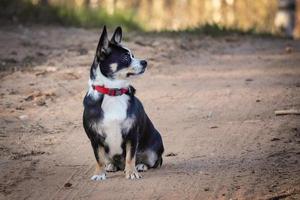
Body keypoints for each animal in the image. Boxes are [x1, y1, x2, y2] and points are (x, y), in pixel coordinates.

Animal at [82, 25, 164, 180]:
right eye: (126, 57)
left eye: (133, 55)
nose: (145, 62)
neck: (113, 92)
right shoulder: (95, 138)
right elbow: (99, 158)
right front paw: (99, 174)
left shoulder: (132, 135)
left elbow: (130, 157)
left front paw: (131, 172)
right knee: (110, 160)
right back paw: (111, 166)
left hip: (153, 151)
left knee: (154, 161)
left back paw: (141, 166)